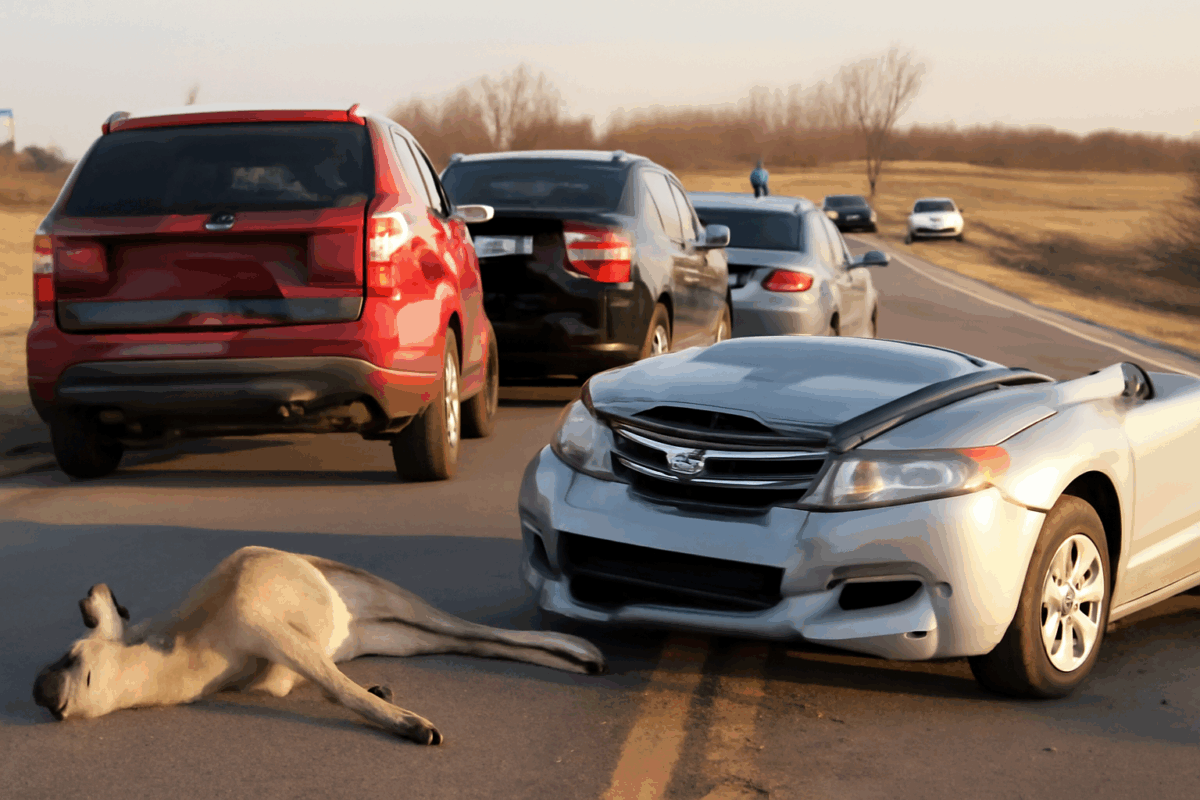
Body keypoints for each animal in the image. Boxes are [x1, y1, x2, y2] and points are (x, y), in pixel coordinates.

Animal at [32, 546, 607, 744]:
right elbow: (324, 686)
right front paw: (389, 701)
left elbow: (342, 690)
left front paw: (410, 724)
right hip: (389, 635)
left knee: (474, 631)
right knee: (467, 642)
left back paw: (580, 650)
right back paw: (578, 657)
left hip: (392, 599)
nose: (44, 693)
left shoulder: (273, 632)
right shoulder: (278, 671)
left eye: (73, 660)